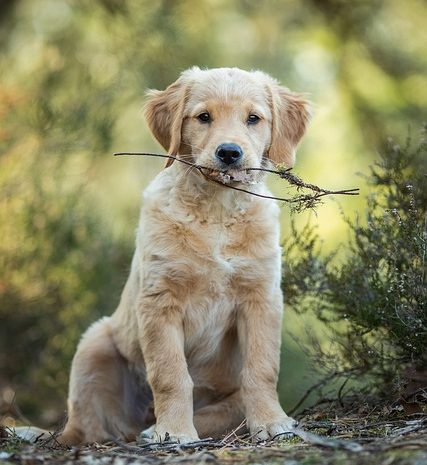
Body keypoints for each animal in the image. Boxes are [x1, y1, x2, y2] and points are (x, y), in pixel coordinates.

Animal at [21, 66, 310, 442]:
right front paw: (173, 432)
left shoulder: (261, 297)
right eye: (203, 117)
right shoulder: (160, 300)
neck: (217, 211)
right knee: (93, 429)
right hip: (94, 343)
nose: (229, 153)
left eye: (253, 119)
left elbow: (262, 368)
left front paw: (273, 422)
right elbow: (170, 374)